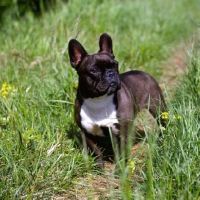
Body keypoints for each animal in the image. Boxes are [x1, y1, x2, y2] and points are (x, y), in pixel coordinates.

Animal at [68, 32, 166, 167]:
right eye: (94, 70)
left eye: (115, 65)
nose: (111, 73)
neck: (98, 100)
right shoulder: (87, 133)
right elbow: (96, 150)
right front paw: (99, 166)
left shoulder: (123, 133)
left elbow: (122, 153)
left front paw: (121, 168)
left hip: (158, 109)